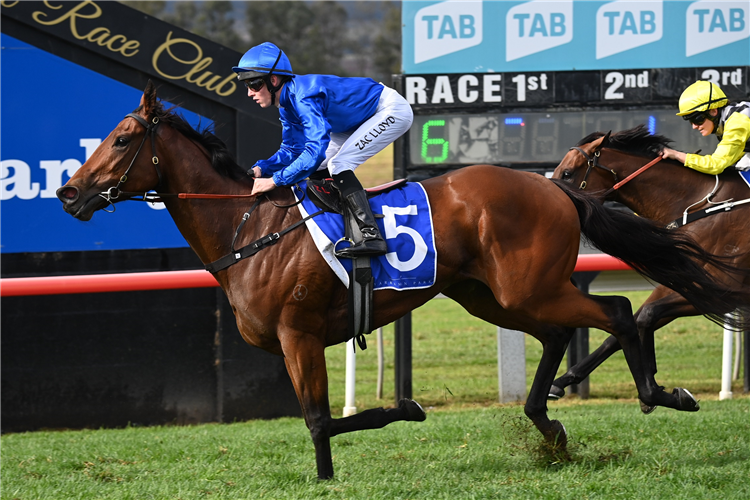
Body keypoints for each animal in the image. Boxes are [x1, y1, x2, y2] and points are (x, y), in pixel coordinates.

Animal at [552, 126, 750, 406]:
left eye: (567, 173)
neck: (701, 206)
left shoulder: (722, 292)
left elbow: (646, 316)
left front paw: (652, 385)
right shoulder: (685, 282)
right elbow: (629, 324)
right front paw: (562, 381)